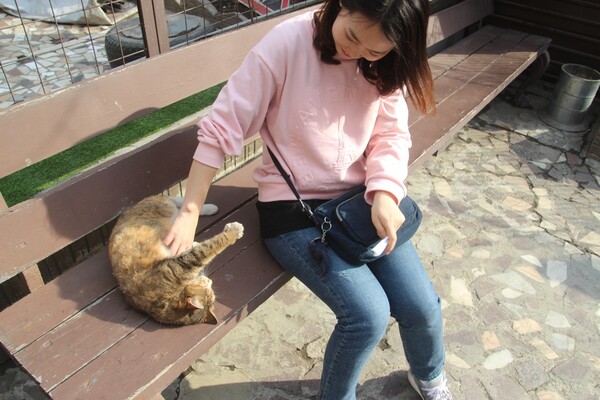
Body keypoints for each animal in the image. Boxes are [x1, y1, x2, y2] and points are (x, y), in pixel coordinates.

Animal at [109, 195, 245, 326]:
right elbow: (212, 245)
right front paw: (235, 231)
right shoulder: (184, 263)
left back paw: (210, 208)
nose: (209, 280)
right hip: (165, 208)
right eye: (208, 290)